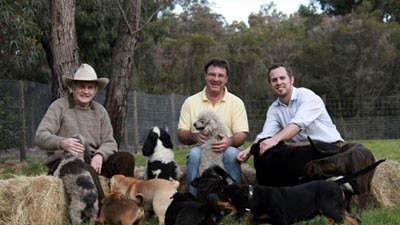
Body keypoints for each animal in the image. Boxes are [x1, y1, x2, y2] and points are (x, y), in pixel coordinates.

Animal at [217, 159, 386, 225]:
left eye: (225, 194)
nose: (212, 199)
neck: (254, 197)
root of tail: (334, 182)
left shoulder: (281, 219)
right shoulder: (256, 218)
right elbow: (250, 220)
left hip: (329, 207)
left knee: (344, 220)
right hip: (335, 209)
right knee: (353, 220)